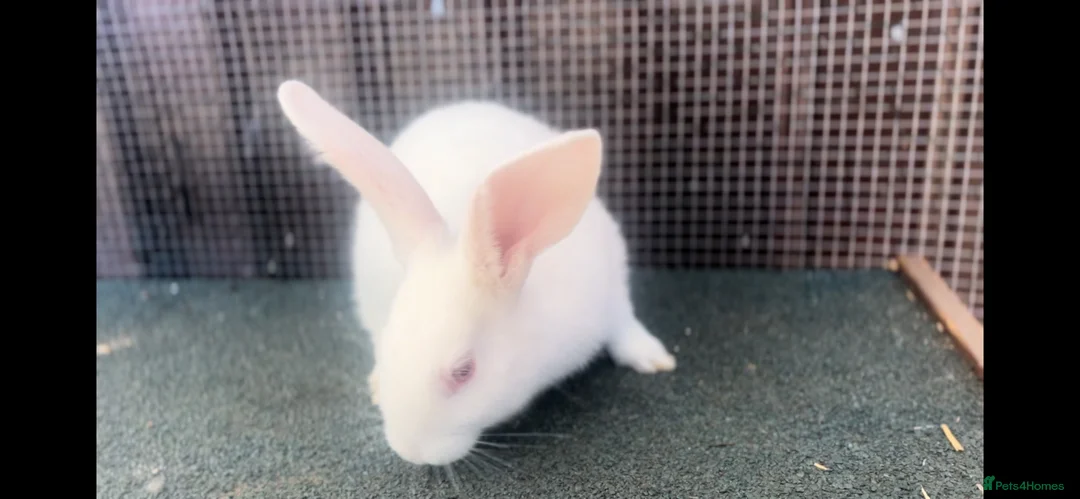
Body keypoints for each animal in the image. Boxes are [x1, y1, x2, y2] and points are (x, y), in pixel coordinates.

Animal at [276, 80, 676, 467]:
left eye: (464, 371)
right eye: (390, 345)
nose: (409, 451)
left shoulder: (610, 287)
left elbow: (624, 324)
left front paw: (654, 359)